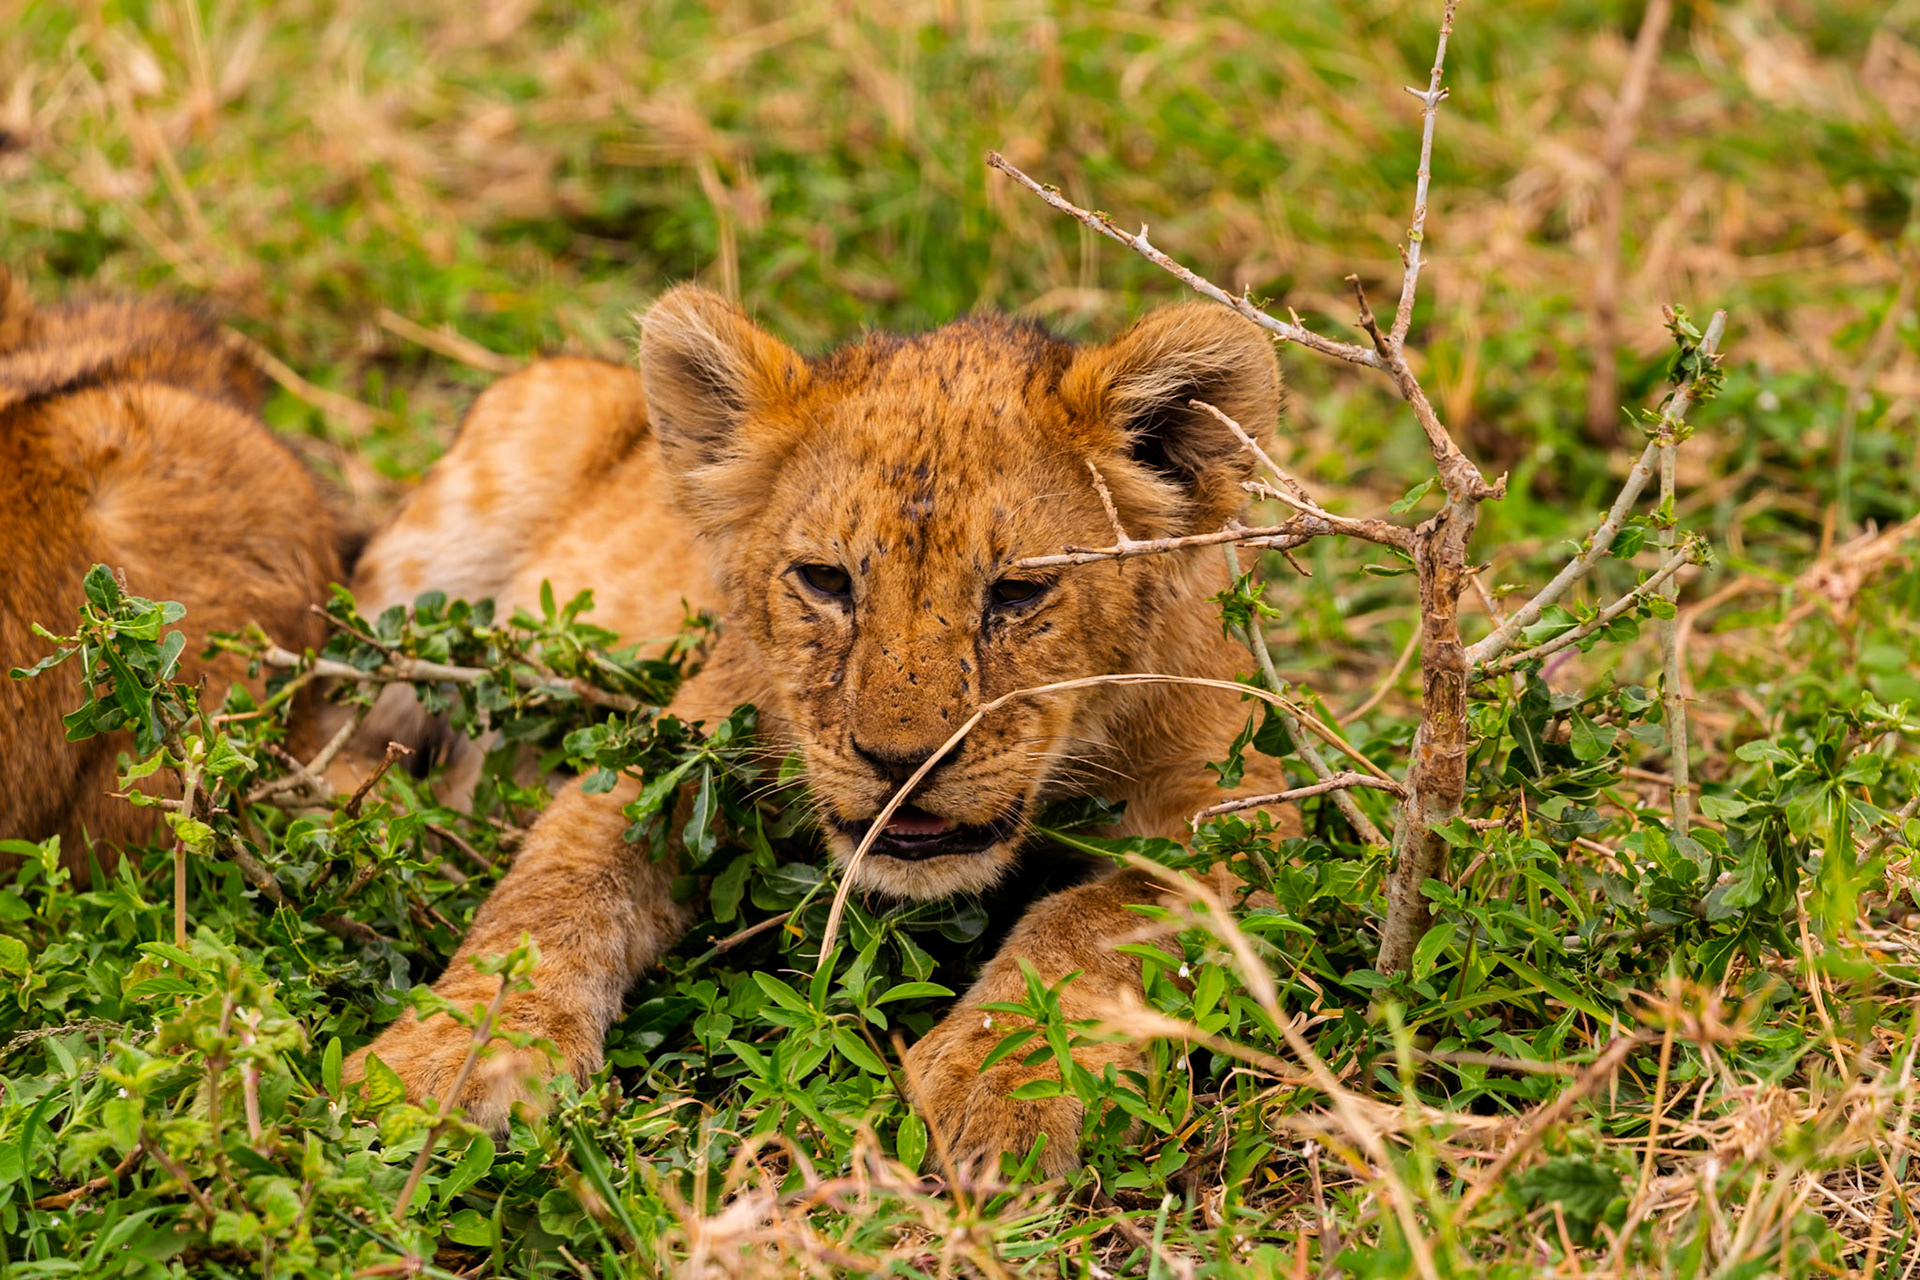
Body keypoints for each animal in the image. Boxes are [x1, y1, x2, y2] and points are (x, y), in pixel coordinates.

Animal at [347, 284, 1298, 1175]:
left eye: (1020, 591)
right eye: (826, 580)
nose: (901, 764)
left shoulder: (1240, 807)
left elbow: (1101, 919)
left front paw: (1004, 1078)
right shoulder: (669, 762)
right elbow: (552, 895)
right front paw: (449, 1059)